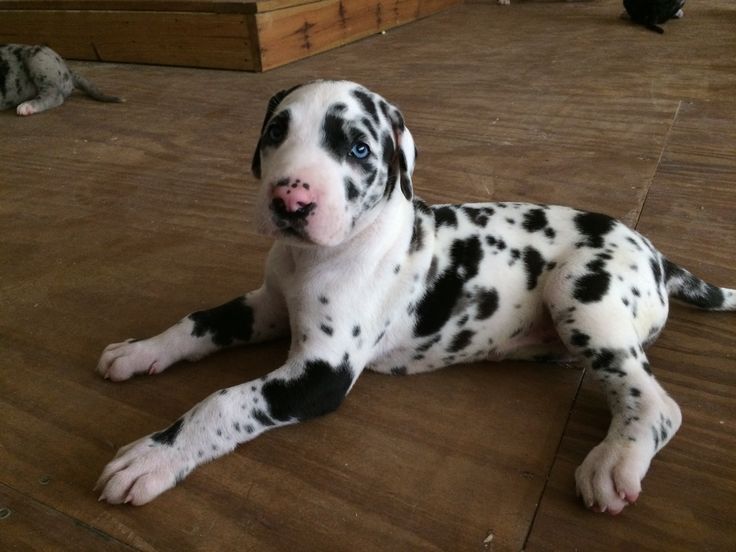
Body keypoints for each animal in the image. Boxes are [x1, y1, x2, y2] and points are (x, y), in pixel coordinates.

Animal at [95, 80, 732, 516]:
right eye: (276, 132)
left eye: (358, 149)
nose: (291, 201)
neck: (314, 258)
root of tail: (653, 253)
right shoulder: (266, 307)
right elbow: (198, 322)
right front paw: (140, 349)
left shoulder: (320, 374)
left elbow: (223, 402)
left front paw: (154, 456)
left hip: (581, 297)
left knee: (654, 399)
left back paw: (614, 459)